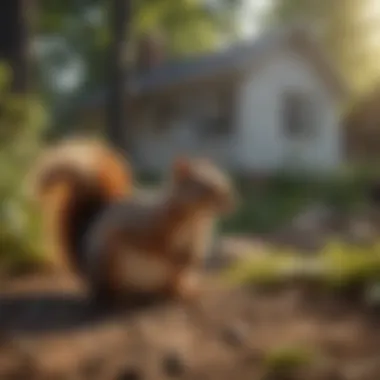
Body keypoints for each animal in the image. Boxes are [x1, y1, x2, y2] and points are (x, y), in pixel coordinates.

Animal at [29, 138, 236, 304]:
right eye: (205, 187)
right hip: (109, 261)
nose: (230, 200)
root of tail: (86, 270)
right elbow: (160, 249)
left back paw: (183, 289)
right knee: (107, 290)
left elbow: (191, 259)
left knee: (172, 283)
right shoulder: (150, 228)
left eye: (224, 181)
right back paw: (120, 296)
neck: (194, 218)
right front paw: (175, 258)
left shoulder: (197, 240)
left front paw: (190, 264)